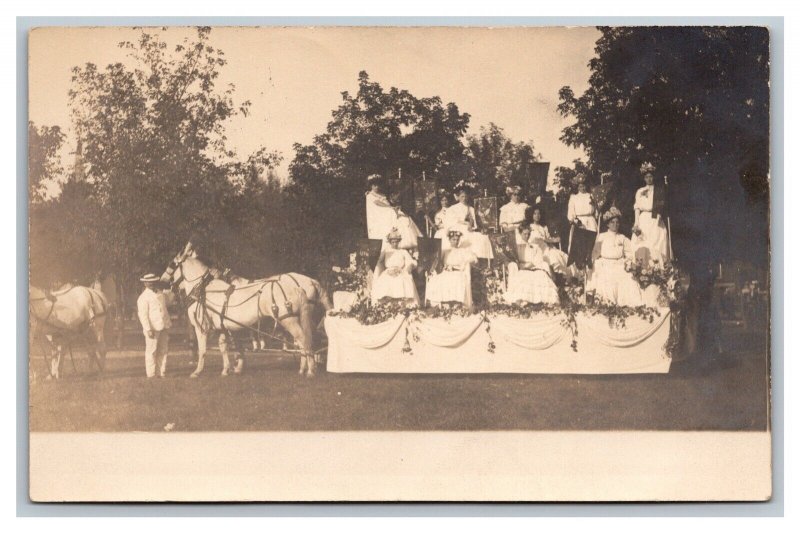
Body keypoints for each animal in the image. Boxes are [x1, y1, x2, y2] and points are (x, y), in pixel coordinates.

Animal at [161, 243, 330, 376]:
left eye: (171, 264)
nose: (162, 281)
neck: (204, 290)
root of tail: (300, 286)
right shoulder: (223, 327)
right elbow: (225, 347)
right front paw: (227, 369)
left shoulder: (202, 327)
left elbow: (203, 349)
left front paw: (197, 371)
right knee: (306, 340)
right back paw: (304, 368)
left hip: (288, 320)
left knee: (303, 339)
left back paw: (310, 370)